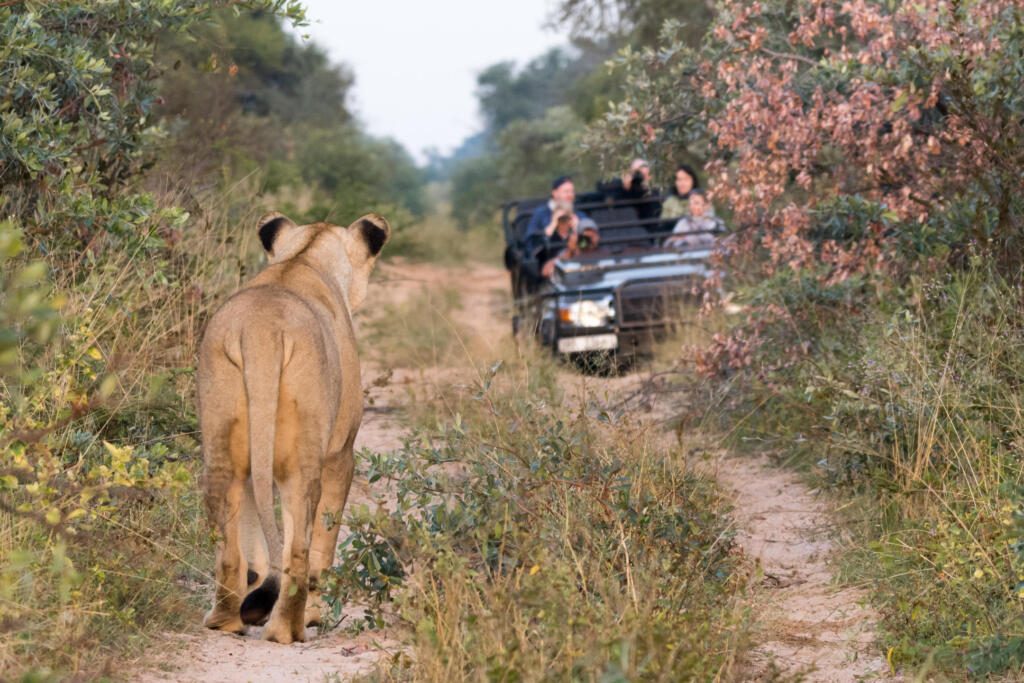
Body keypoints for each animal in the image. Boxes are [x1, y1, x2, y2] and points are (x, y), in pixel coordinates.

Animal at [197, 211, 390, 644]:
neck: (304, 256)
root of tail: (262, 329)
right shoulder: (341, 454)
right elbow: (325, 545)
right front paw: (317, 615)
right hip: (305, 460)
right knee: (299, 550)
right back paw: (289, 628)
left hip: (222, 448)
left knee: (229, 547)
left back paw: (227, 620)